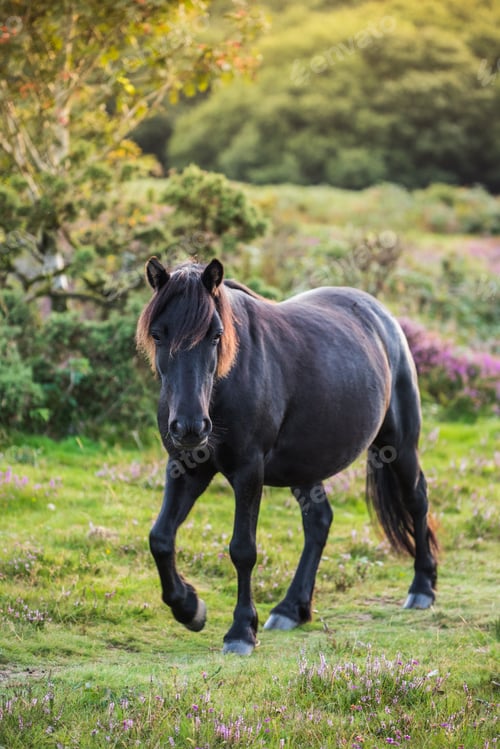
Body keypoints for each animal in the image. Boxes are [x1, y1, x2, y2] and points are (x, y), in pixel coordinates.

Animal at [136, 257, 438, 655]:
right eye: (158, 335)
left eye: (215, 335)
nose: (189, 427)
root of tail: (382, 316)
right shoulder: (185, 468)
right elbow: (160, 538)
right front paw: (190, 608)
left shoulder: (248, 471)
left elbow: (243, 549)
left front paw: (240, 631)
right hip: (306, 466)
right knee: (319, 521)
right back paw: (291, 608)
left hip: (399, 446)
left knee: (416, 500)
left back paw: (422, 588)